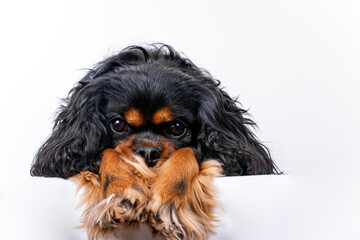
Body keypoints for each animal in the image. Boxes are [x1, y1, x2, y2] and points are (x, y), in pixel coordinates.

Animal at [30, 44, 278, 239]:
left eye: (176, 128)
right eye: (118, 124)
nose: (147, 152)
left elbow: (186, 153)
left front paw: (168, 202)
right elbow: (108, 153)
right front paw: (122, 194)